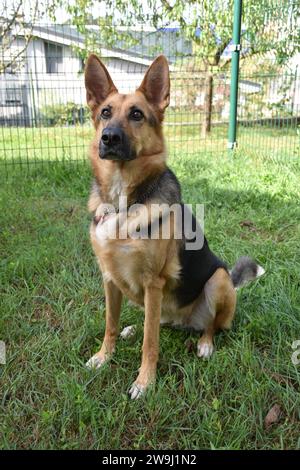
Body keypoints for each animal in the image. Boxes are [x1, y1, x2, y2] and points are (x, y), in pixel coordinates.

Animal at [83, 56, 264, 400]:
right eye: (105, 113)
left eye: (137, 114)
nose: (108, 137)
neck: (124, 200)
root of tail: (184, 322)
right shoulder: (109, 278)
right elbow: (110, 324)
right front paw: (104, 356)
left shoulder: (153, 282)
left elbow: (150, 343)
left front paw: (145, 382)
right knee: (155, 323)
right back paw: (133, 328)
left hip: (218, 280)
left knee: (209, 325)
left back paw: (205, 344)